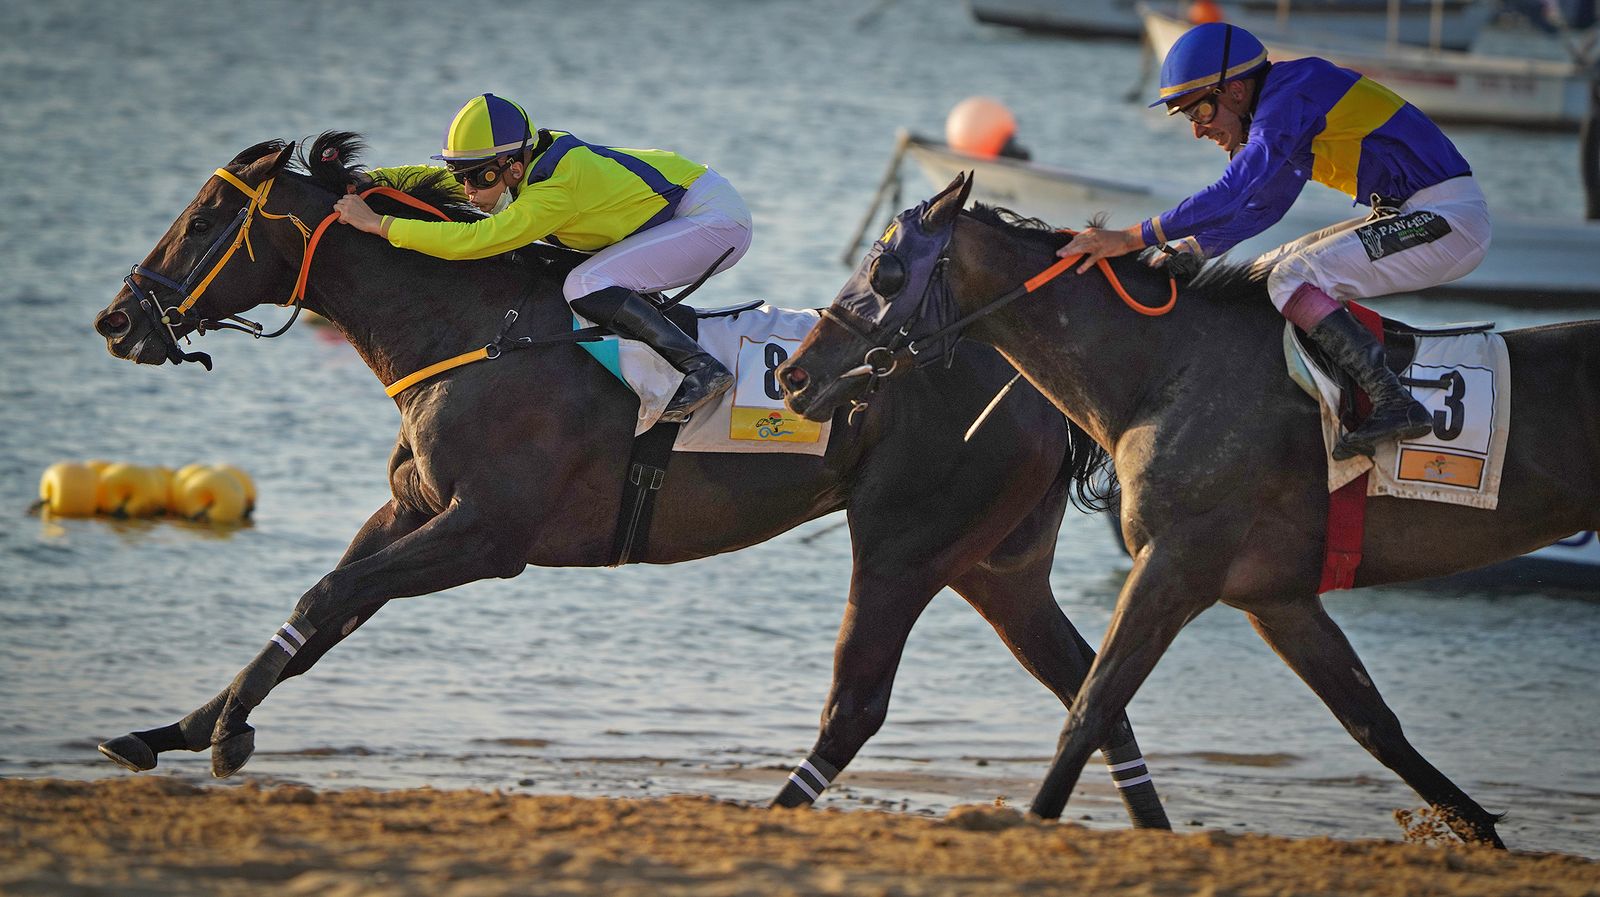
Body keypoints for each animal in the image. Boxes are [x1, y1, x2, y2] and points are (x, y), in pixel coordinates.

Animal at [90, 134, 1171, 829]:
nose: (116, 319)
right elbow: (320, 612)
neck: (473, 333)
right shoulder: (412, 509)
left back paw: (775, 819)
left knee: (861, 703)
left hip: (906, 544)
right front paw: (170, 729)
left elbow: (328, 596)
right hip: (997, 564)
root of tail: (1036, 388)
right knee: (1095, 689)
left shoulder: (485, 536)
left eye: (206, 219)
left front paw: (225, 735)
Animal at [778, 173, 1600, 847]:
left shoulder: (1175, 565)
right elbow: (1378, 728)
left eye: (885, 270)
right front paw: (1486, 839)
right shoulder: (1276, 598)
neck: (1168, 369)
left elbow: (1090, 707)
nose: (794, 376)